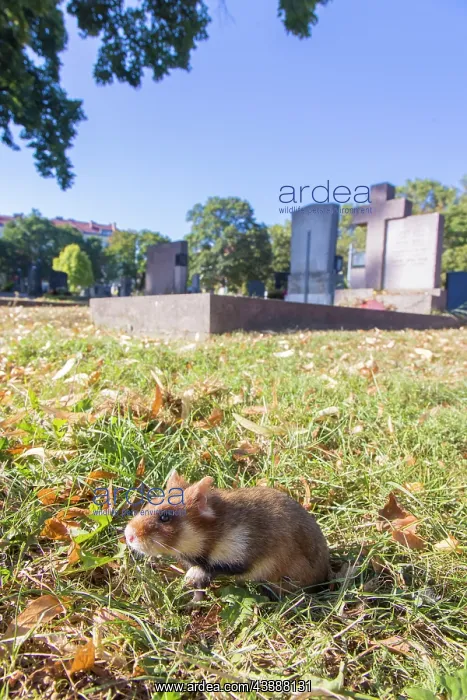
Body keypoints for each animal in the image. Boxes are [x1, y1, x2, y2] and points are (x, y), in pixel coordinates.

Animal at [124, 471, 330, 598]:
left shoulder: (240, 555)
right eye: (148, 503)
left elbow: (213, 569)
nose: (128, 536)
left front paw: (190, 578)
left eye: (165, 517)